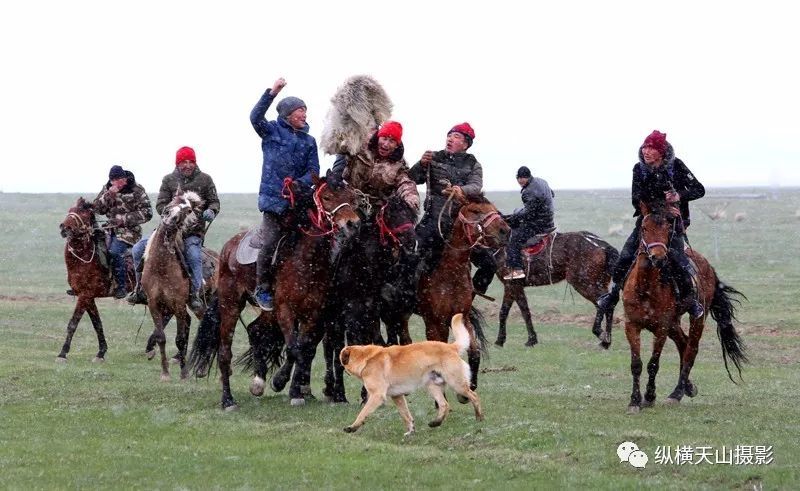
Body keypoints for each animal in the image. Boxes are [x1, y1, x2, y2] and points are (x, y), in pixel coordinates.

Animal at [57, 198, 127, 364]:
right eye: (70, 210)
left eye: (84, 213)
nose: (65, 228)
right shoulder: (88, 297)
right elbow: (97, 324)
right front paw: (101, 353)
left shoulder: (85, 295)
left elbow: (73, 323)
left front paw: (62, 354)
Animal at [189, 179, 358, 410]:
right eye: (327, 197)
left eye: (351, 197)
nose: (352, 224)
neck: (307, 258)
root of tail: (227, 249)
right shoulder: (285, 309)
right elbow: (295, 349)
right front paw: (281, 382)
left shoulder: (313, 314)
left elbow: (304, 349)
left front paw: (296, 390)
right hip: (231, 304)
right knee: (225, 352)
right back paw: (228, 400)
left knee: (255, 329)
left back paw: (257, 383)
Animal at [620, 202, 748, 414]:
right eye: (644, 228)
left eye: (668, 229)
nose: (658, 257)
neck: (645, 288)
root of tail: (709, 266)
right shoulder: (632, 325)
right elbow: (636, 364)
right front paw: (634, 401)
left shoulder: (661, 328)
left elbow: (653, 364)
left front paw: (649, 397)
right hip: (674, 323)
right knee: (684, 343)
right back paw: (687, 386)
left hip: (696, 318)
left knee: (691, 349)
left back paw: (677, 393)